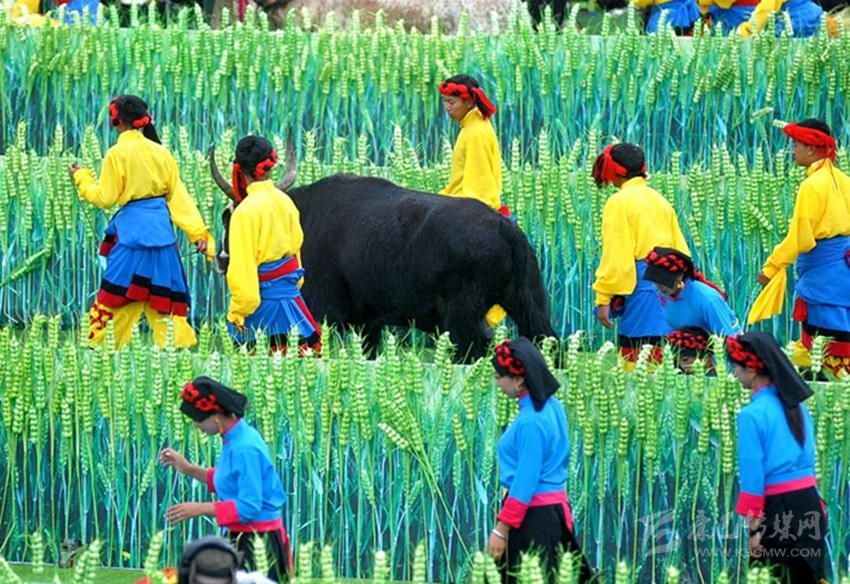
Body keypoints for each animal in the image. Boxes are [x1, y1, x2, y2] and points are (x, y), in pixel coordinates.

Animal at [209, 141, 556, 359]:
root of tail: (506, 230)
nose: (223, 260)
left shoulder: (322, 315)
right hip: (529, 306)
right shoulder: (369, 324)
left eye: (230, 217)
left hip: (462, 320)